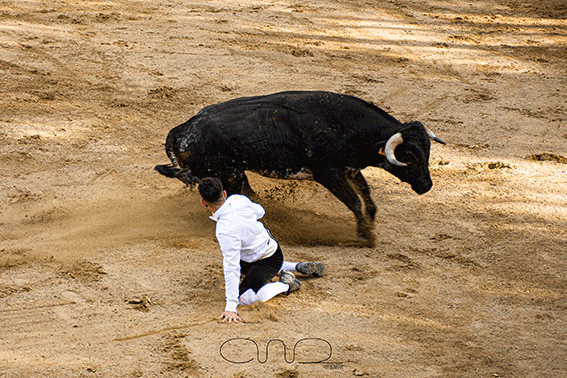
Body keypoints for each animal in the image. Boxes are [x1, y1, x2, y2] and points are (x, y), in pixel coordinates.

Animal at [156, 91, 448, 245]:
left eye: (427, 151)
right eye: (409, 155)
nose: (426, 186)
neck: (346, 126)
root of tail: (182, 129)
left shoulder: (349, 169)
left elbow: (367, 197)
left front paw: (371, 227)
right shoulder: (327, 173)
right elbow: (354, 201)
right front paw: (364, 235)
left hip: (232, 174)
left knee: (248, 196)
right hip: (228, 173)